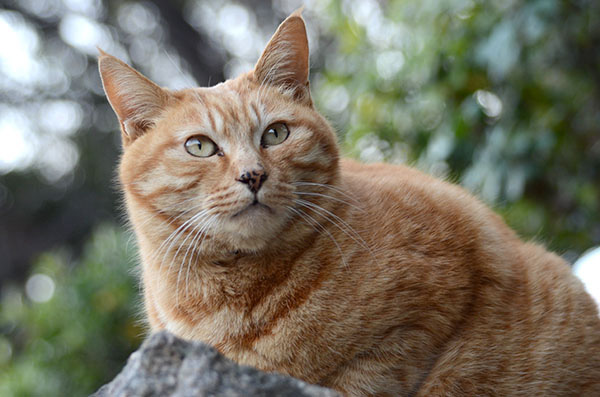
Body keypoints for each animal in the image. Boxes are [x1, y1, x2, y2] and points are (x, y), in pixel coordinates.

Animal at [99, 9, 600, 396]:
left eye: (275, 134)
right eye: (200, 147)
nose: (253, 175)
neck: (235, 300)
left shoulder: (424, 320)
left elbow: (369, 377)